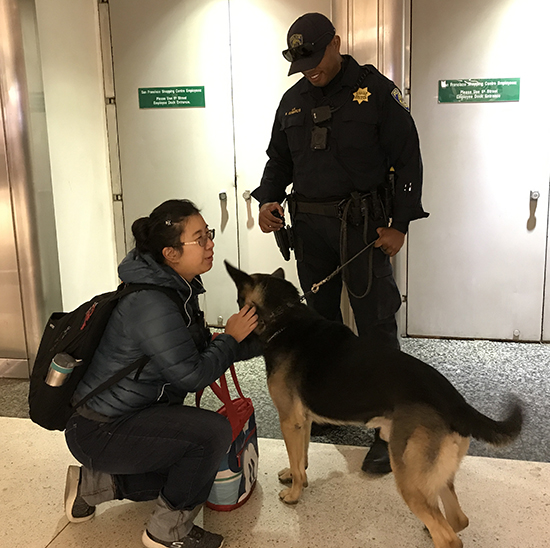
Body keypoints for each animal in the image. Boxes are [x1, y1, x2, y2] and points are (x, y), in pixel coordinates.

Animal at [225, 262, 528, 548]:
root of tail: (455, 401)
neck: (283, 317)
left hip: (408, 475)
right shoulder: (303, 421)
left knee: (449, 536)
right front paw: (294, 474)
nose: (232, 326)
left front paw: (294, 493)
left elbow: (298, 460)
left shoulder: (289, 420)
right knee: (458, 519)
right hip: (437, 476)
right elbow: (301, 456)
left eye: (238, 299)